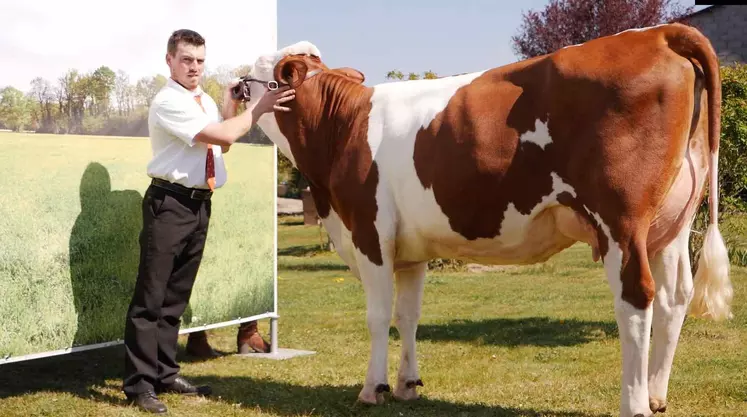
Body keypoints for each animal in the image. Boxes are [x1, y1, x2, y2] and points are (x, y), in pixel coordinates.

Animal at [244, 22, 732, 416]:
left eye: (255, 73)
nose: (233, 85)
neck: (342, 127)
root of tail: (659, 33)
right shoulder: (410, 250)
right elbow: (408, 315)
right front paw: (406, 385)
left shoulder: (369, 233)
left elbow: (378, 315)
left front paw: (372, 389)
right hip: (670, 225)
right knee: (674, 298)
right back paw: (656, 395)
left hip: (622, 221)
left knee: (636, 298)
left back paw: (634, 403)